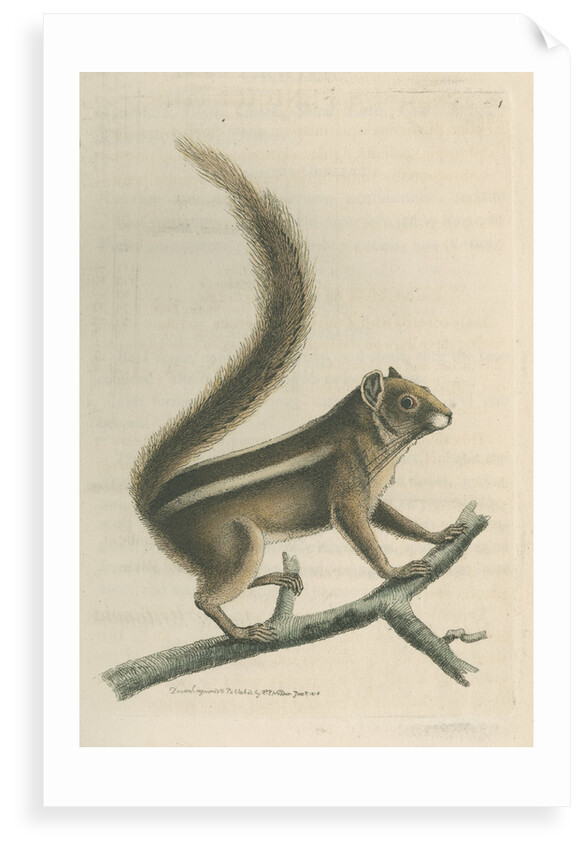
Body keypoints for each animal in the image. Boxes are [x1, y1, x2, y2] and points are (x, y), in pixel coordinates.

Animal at [130, 139, 464, 642]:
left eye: (425, 385)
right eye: (407, 402)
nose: (449, 414)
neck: (375, 442)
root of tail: (151, 509)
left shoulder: (373, 494)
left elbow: (395, 519)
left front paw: (438, 534)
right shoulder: (347, 489)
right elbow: (361, 534)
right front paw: (396, 571)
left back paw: (278, 580)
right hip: (237, 542)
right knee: (204, 596)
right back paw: (241, 632)